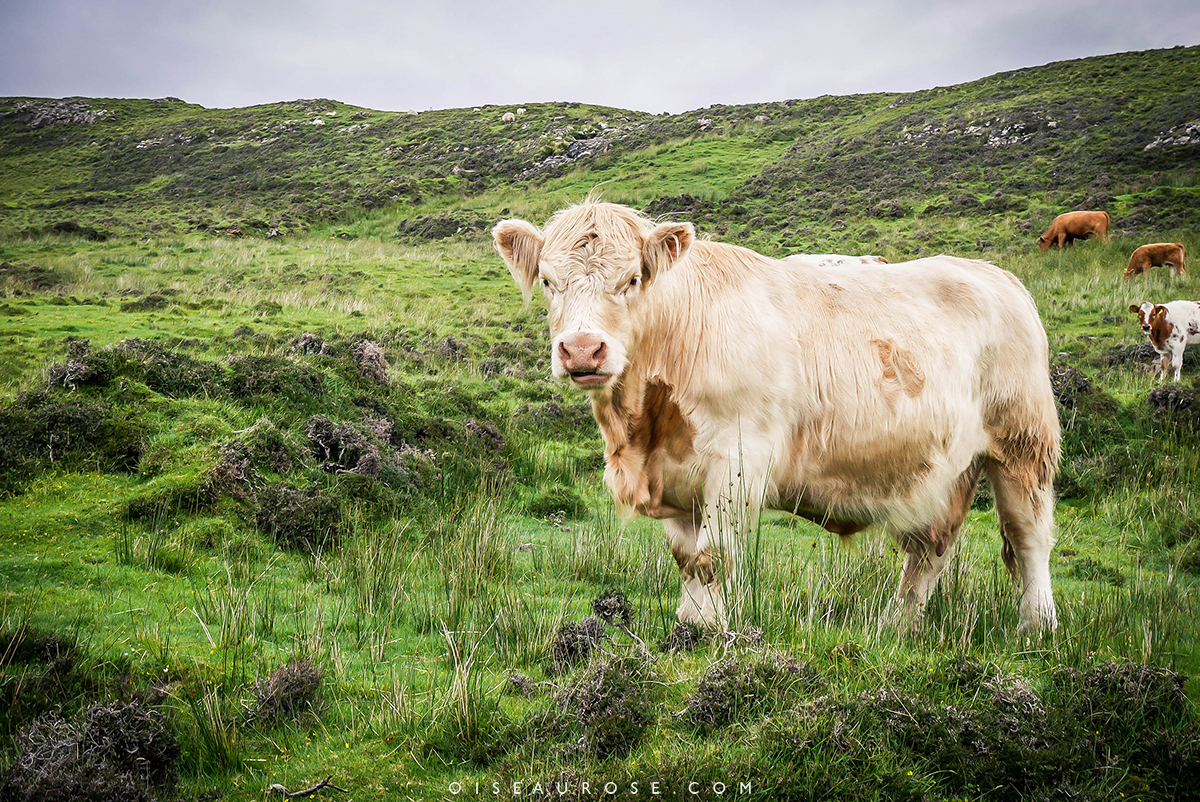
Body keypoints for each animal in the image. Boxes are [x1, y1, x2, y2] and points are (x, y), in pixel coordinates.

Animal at [493, 200, 1061, 635]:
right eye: (548, 281)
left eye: (631, 279)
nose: (582, 350)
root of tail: (996, 275)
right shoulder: (676, 471)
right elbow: (687, 558)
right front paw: (688, 624)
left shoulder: (738, 461)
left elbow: (714, 556)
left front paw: (710, 631)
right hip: (944, 470)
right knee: (929, 550)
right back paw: (895, 628)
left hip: (1022, 444)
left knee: (1029, 536)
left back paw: (1037, 625)